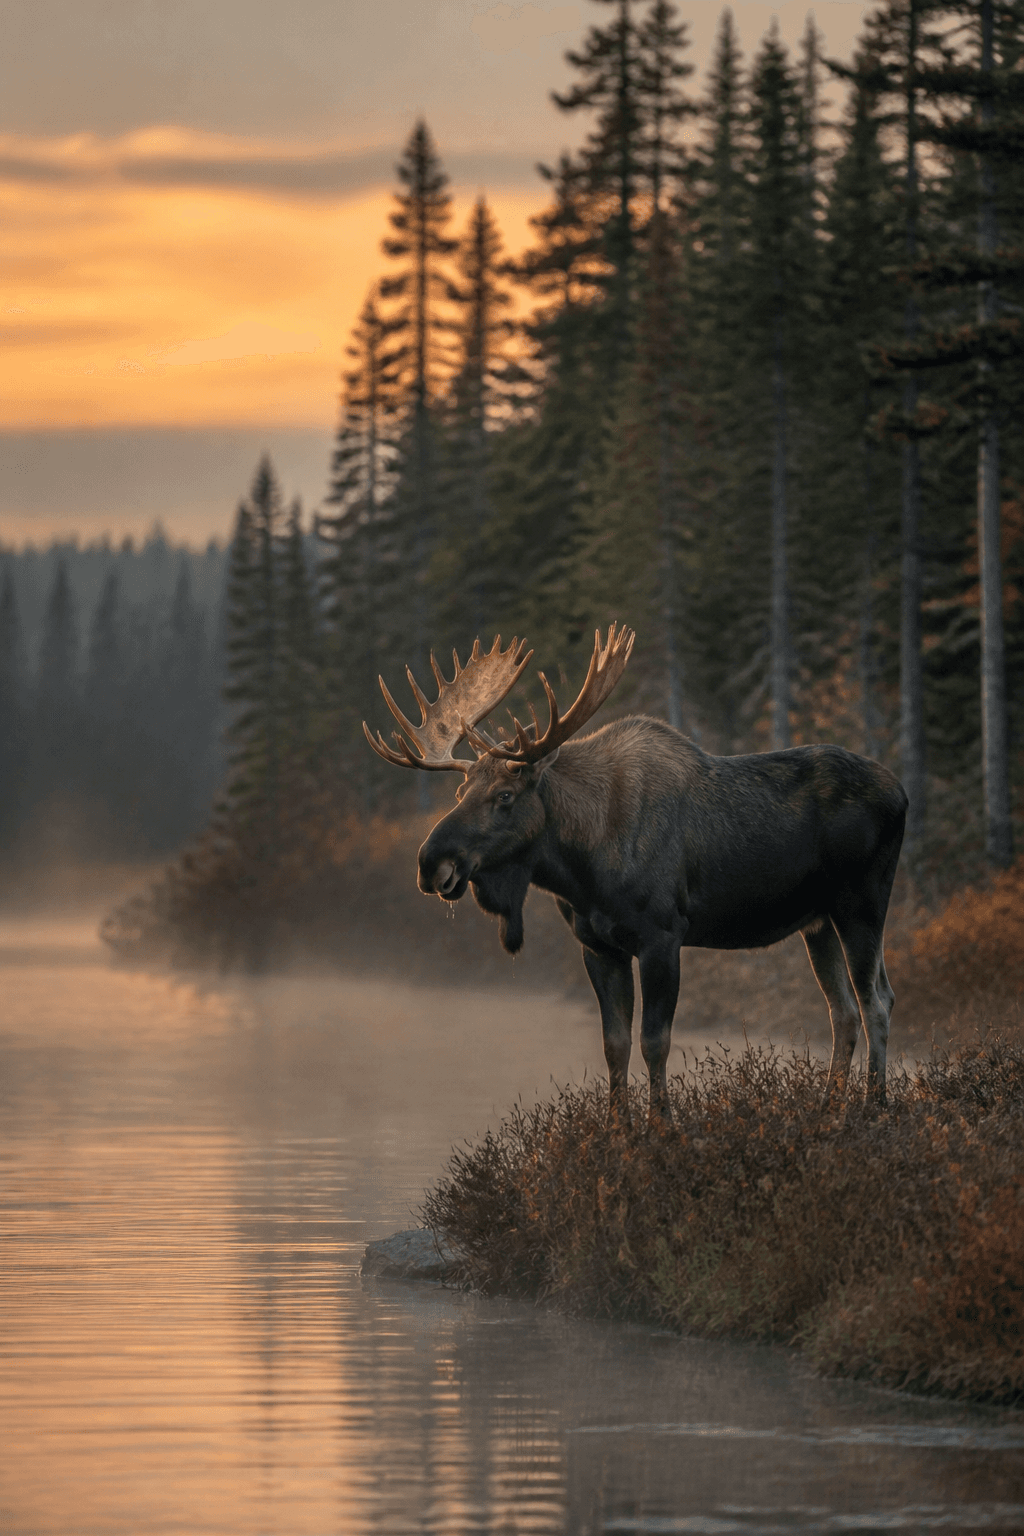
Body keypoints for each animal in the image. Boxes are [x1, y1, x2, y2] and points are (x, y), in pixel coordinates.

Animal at [365, 625, 908, 1124]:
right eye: (460, 794)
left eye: (504, 796)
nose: (431, 862)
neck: (582, 868)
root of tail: (902, 793)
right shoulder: (598, 946)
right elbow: (615, 1044)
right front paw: (617, 1128)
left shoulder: (662, 936)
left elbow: (654, 1041)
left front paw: (661, 1124)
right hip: (817, 922)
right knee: (842, 1009)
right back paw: (830, 1108)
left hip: (861, 903)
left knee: (877, 998)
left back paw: (874, 1106)